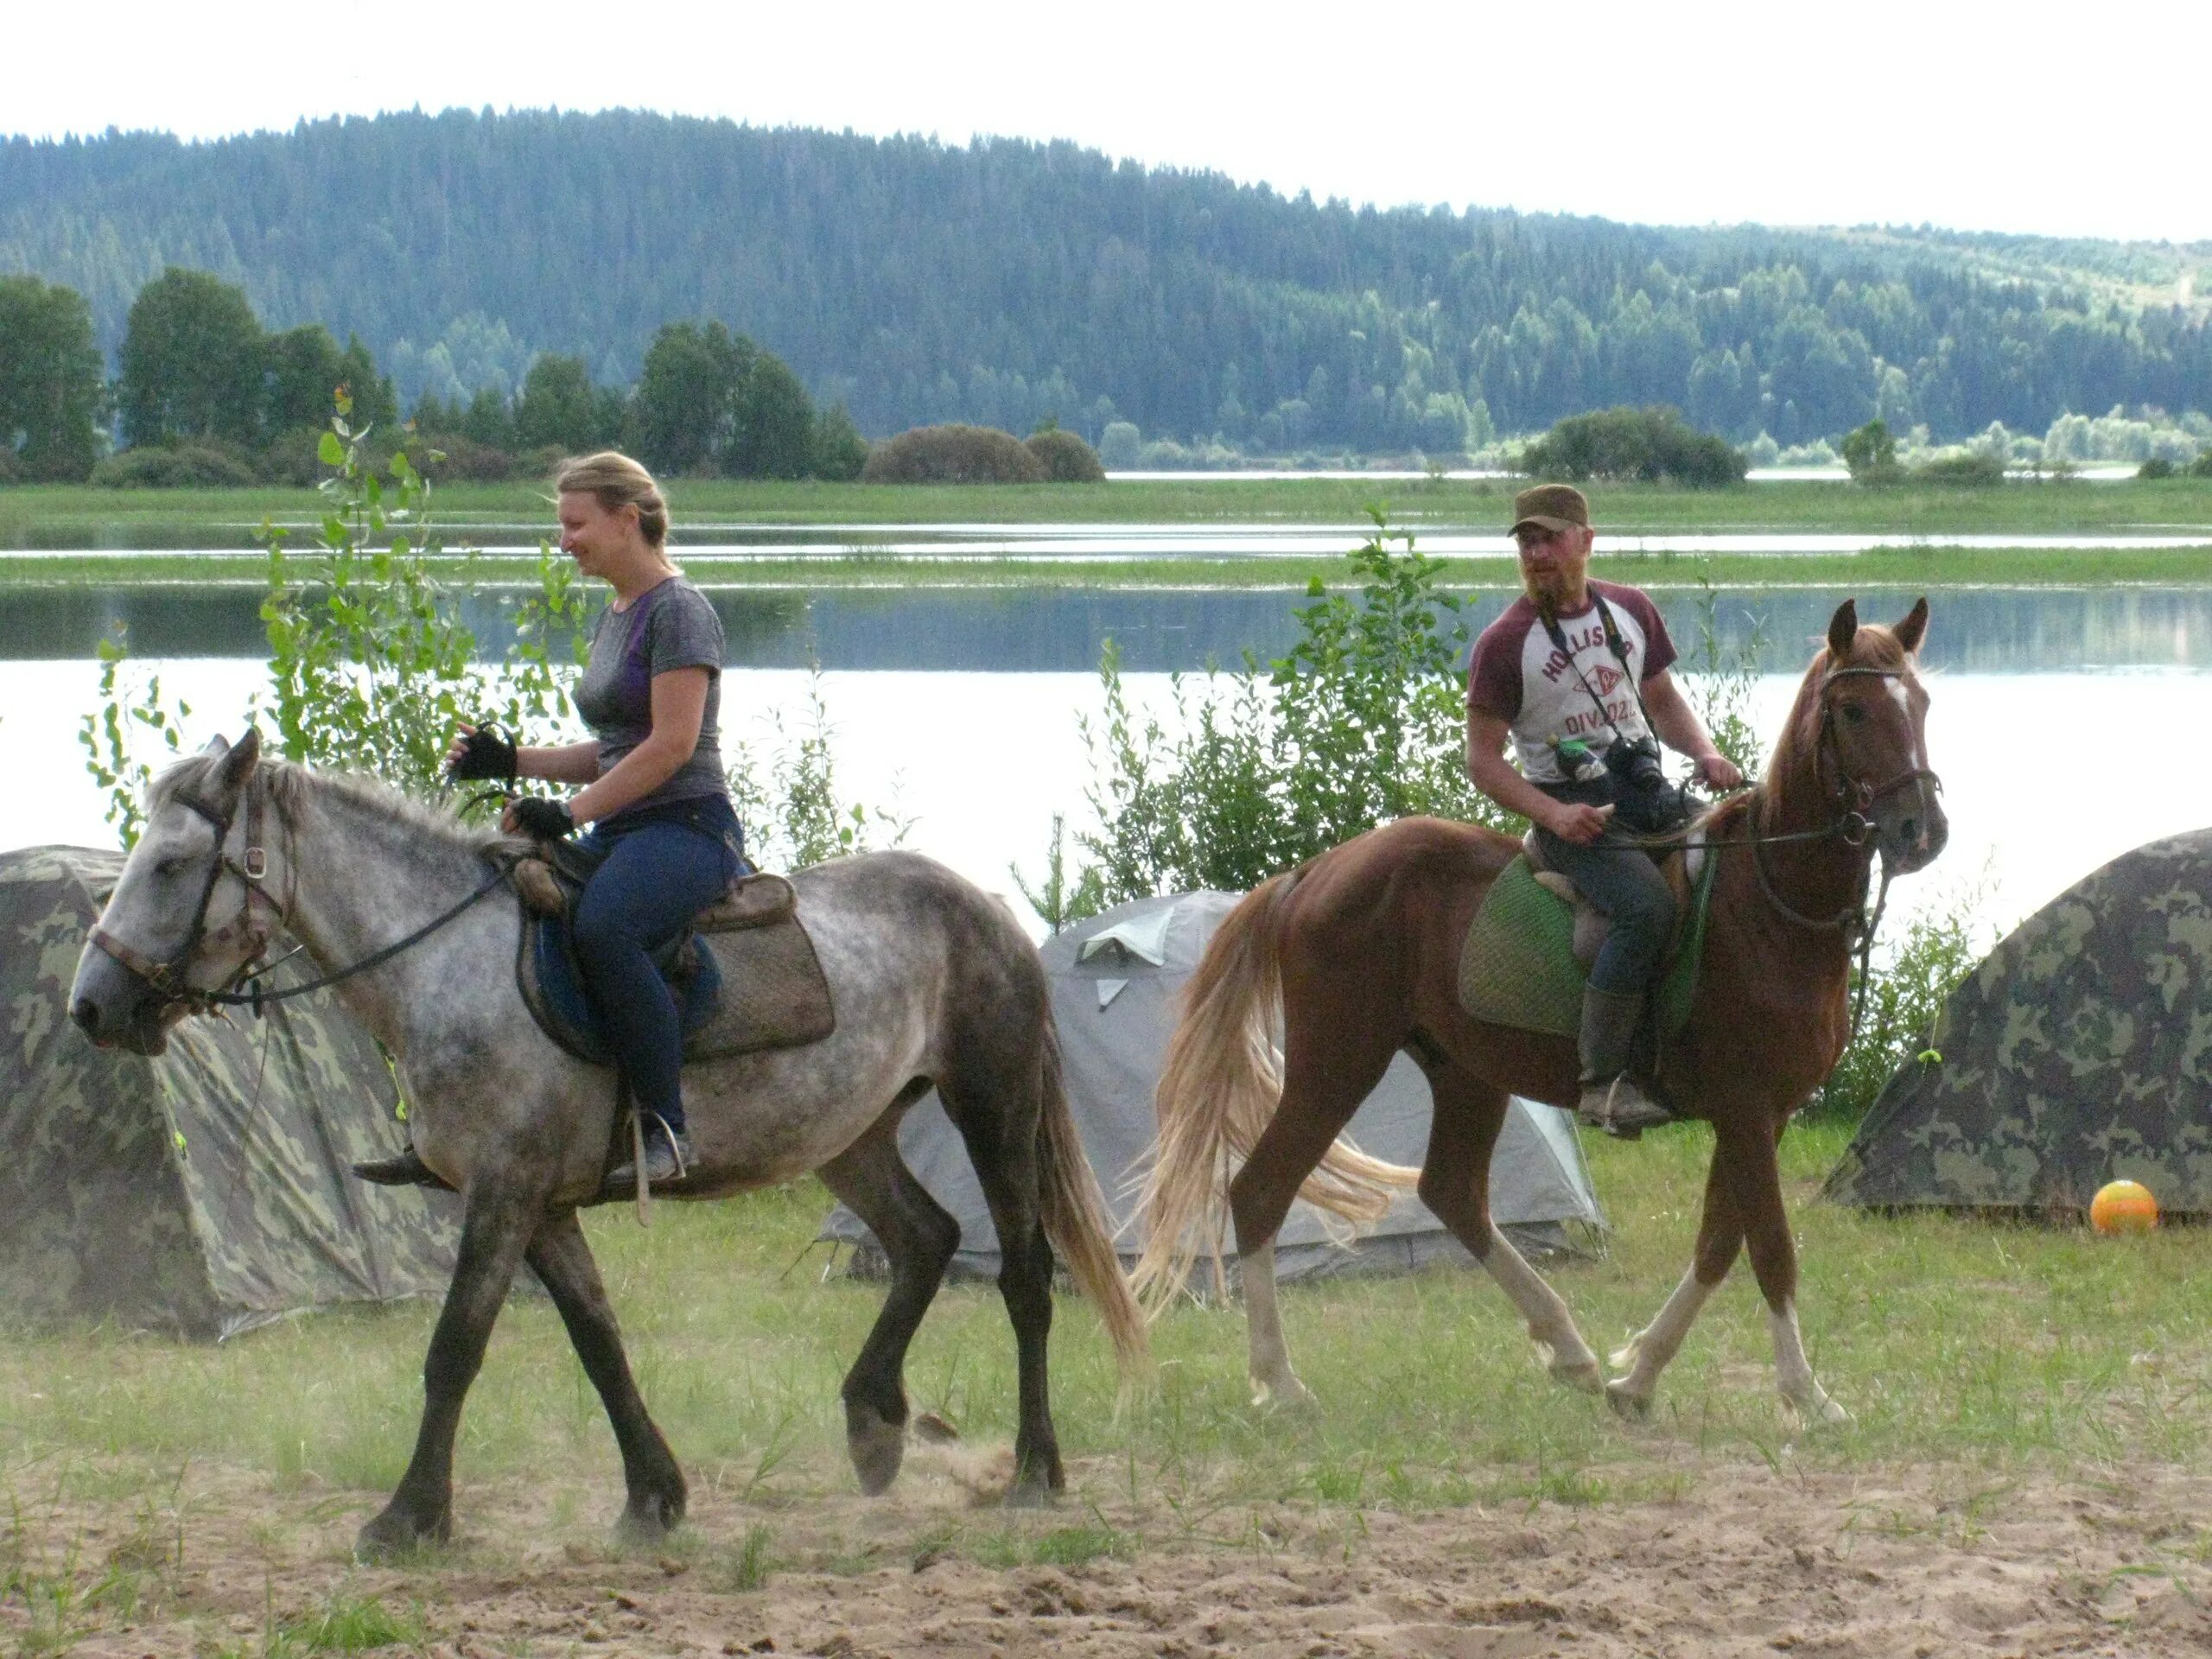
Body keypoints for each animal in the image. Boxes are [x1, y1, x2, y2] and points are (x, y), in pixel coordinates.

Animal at [73, 734, 1141, 1557]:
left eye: (170, 867)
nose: (92, 1007)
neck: (444, 964)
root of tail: (987, 906)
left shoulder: (504, 1191)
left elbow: (454, 1349)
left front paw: (410, 1519)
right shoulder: (541, 1204)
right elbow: (599, 1344)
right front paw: (653, 1498)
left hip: (991, 1103)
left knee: (1024, 1277)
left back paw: (1035, 1470)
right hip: (848, 1133)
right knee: (924, 1239)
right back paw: (874, 1423)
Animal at [1132, 606, 1946, 1424]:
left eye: (1921, 706)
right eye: (1853, 710)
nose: (1923, 832)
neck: (1770, 904)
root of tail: (1315, 873)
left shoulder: (1761, 1115)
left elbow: (1719, 1243)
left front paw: (1638, 1376)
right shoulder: (1746, 1110)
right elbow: (1770, 1248)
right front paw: (1807, 1396)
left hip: (1463, 1071)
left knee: (1452, 1194)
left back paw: (1569, 1348)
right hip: (1337, 1063)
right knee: (1261, 1189)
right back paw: (1280, 1381)